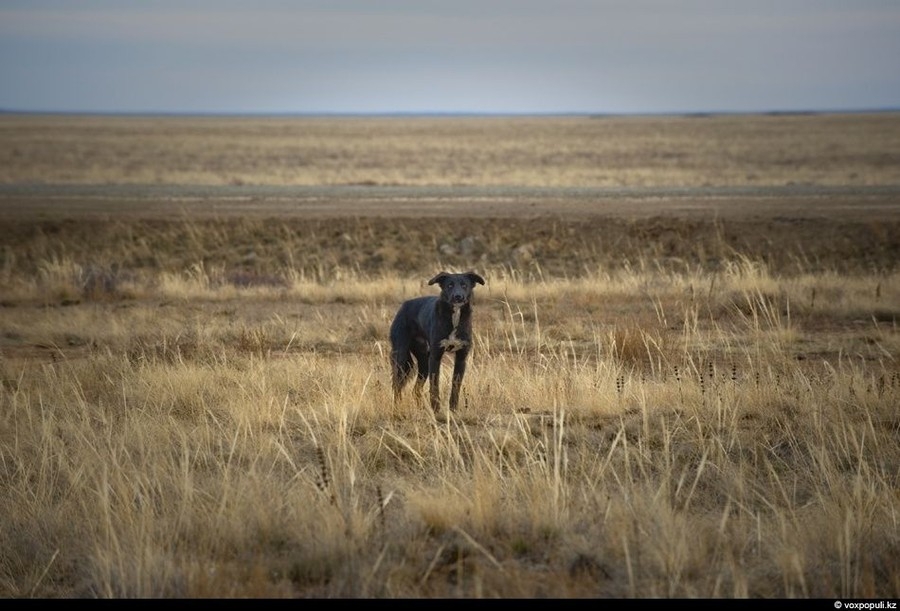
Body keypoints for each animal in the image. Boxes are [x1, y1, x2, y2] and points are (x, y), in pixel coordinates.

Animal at [386, 270, 486, 414]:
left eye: (464, 285)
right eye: (450, 285)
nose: (458, 297)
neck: (454, 316)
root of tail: (404, 306)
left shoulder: (461, 357)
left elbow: (456, 386)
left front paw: (453, 410)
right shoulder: (435, 356)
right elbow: (434, 386)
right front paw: (436, 411)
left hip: (424, 361)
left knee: (416, 390)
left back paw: (421, 409)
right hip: (401, 356)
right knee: (396, 386)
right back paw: (397, 408)